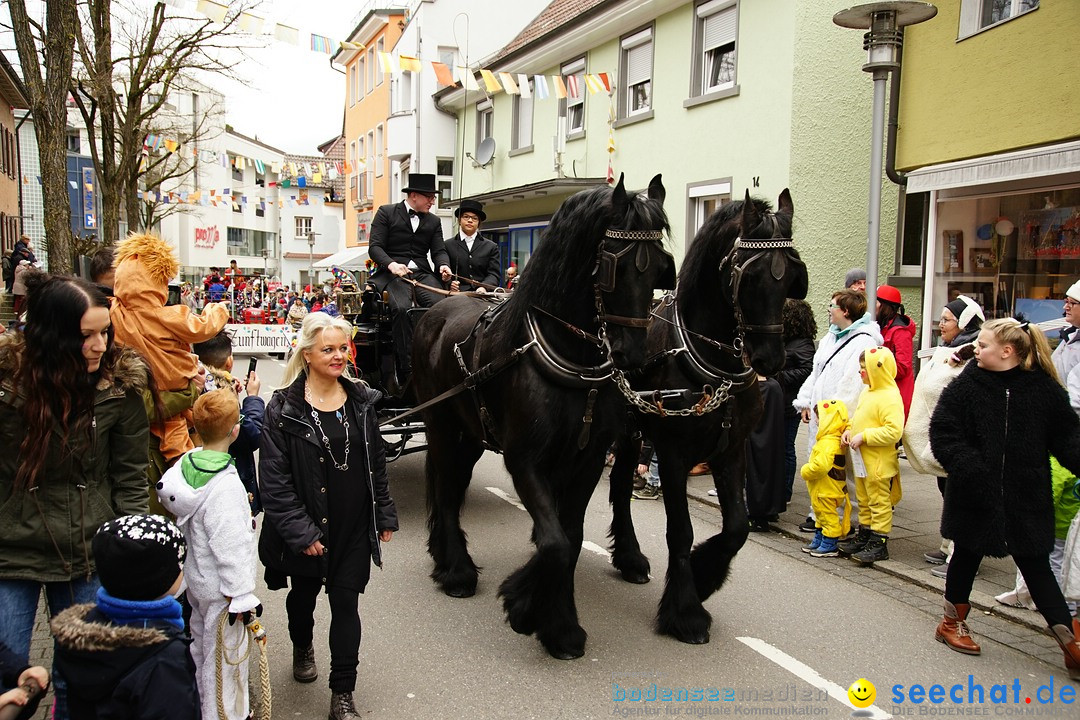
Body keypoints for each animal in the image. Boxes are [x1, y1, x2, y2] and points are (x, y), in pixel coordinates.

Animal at [412, 172, 673, 660]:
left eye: (660, 268)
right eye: (613, 263)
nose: (633, 356)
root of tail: (438, 306)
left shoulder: (587, 459)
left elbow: (569, 537)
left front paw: (553, 621)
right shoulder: (524, 459)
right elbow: (553, 543)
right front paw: (533, 611)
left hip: (472, 435)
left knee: (453, 485)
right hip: (440, 425)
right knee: (445, 491)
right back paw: (455, 569)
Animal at [604, 188, 807, 643]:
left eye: (790, 276)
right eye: (749, 275)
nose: (771, 360)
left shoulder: (730, 451)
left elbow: (737, 528)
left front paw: (705, 575)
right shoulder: (673, 453)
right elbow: (681, 531)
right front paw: (685, 610)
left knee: (621, 484)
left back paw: (629, 557)